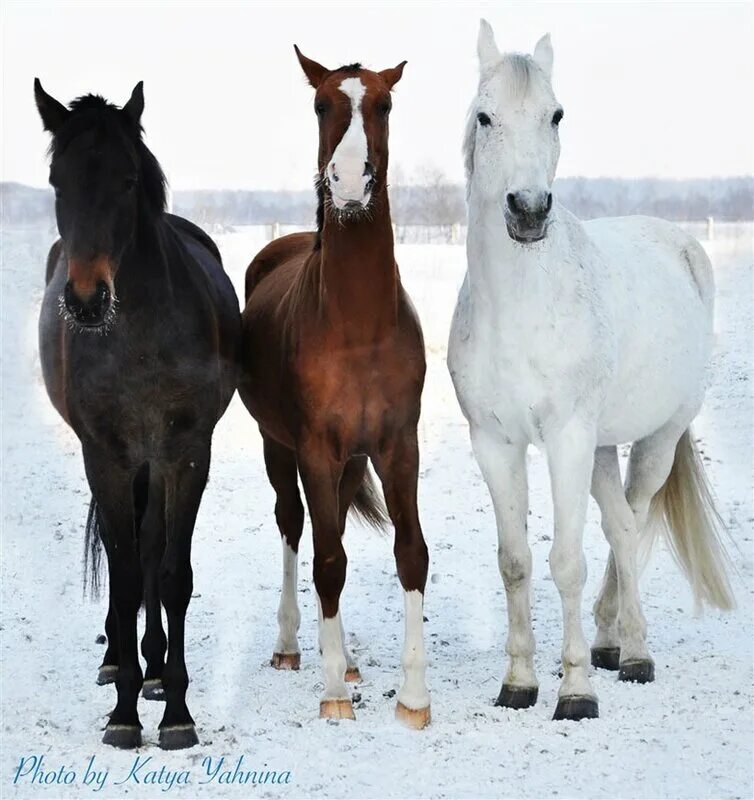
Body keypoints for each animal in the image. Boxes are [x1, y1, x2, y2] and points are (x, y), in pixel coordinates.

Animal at [34, 80, 241, 749]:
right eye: (58, 181)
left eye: (127, 181)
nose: (86, 300)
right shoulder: (106, 456)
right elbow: (123, 578)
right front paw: (124, 714)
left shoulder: (186, 454)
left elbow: (171, 573)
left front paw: (175, 711)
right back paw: (121, 663)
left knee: (151, 546)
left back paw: (151, 668)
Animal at [238, 47, 431, 729]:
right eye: (321, 105)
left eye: (386, 104)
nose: (349, 183)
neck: (358, 326)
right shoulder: (316, 449)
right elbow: (325, 562)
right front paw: (333, 697)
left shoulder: (398, 446)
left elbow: (410, 553)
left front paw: (414, 699)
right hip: (280, 448)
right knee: (296, 528)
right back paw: (294, 647)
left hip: (350, 462)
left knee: (337, 530)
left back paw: (343, 658)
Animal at [448, 20, 734, 721]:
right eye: (485, 116)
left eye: (556, 114)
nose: (528, 210)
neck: (520, 310)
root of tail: (680, 242)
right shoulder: (494, 444)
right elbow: (516, 561)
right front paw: (520, 682)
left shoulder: (567, 439)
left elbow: (568, 562)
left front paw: (576, 691)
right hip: (602, 447)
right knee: (623, 525)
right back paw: (613, 643)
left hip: (654, 441)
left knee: (631, 526)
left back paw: (632, 654)